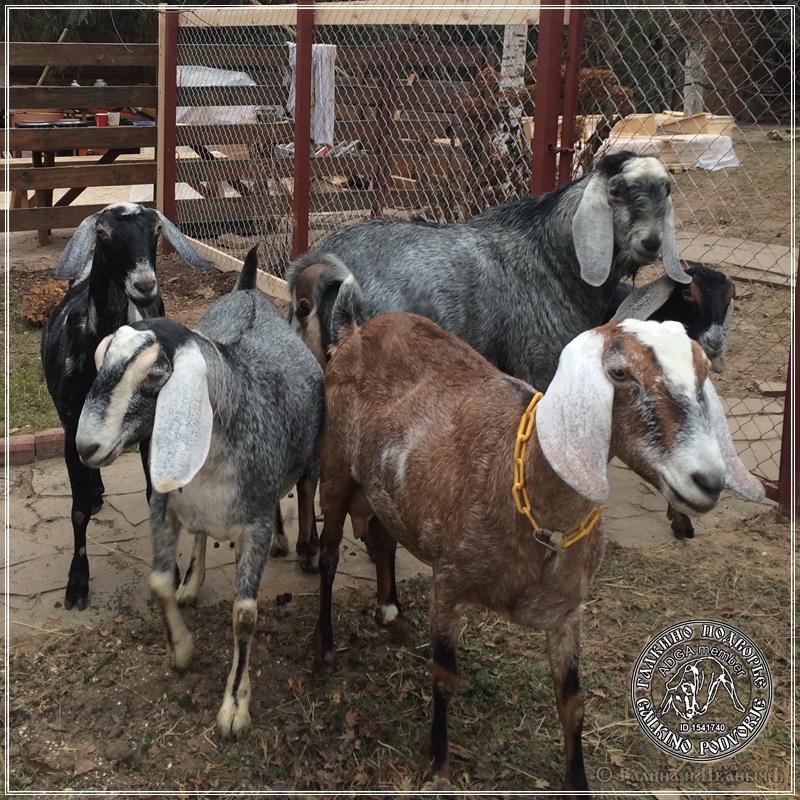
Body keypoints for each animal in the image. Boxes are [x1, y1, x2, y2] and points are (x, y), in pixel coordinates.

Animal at [40, 202, 212, 612]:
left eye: (156, 231)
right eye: (103, 233)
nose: (145, 285)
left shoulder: (152, 428)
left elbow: (155, 497)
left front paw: (171, 572)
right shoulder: (71, 428)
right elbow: (77, 509)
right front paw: (77, 584)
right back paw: (95, 492)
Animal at [75, 245, 324, 736]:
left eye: (155, 375)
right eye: (102, 360)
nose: (85, 446)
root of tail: (247, 290)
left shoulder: (254, 523)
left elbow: (244, 616)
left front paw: (234, 707)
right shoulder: (163, 503)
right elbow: (159, 581)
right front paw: (182, 649)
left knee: (302, 491)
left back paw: (298, 545)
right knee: (203, 533)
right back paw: (194, 582)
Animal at [288, 152, 688, 392]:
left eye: (666, 189)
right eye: (617, 191)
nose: (652, 242)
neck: (549, 255)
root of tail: (324, 259)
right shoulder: (538, 364)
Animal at [310, 302, 764, 792]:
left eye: (703, 372)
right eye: (619, 372)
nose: (709, 481)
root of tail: (357, 329)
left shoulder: (568, 612)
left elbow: (573, 702)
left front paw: (578, 782)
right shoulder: (447, 583)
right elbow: (444, 677)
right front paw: (438, 766)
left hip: (386, 486)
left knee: (383, 536)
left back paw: (391, 612)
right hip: (335, 467)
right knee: (330, 554)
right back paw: (325, 648)